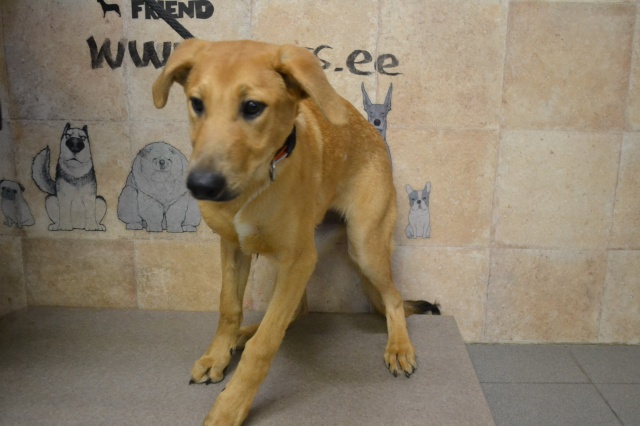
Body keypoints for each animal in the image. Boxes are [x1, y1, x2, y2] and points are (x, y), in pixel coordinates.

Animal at [152, 39, 439, 426]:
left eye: (252, 107)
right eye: (197, 103)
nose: (201, 186)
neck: (259, 182)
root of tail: (376, 137)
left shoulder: (298, 260)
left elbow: (264, 346)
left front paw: (231, 406)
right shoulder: (234, 247)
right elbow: (229, 307)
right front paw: (218, 355)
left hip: (363, 246)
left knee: (392, 298)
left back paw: (399, 347)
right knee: (297, 308)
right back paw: (243, 334)